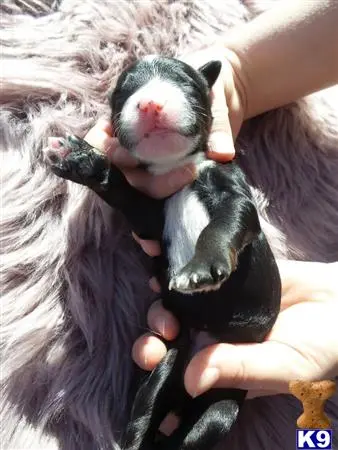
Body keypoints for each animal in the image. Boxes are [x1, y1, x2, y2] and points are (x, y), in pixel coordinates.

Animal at [45, 54, 282, 448]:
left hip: (220, 405)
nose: (150, 103)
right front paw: (82, 160)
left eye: (186, 83)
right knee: (145, 414)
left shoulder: (235, 196)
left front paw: (202, 267)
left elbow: (223, 224)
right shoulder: (151, 217)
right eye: (123, 92)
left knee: (193, 434)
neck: (177, 167)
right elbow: (124, 191)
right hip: (165, 367)